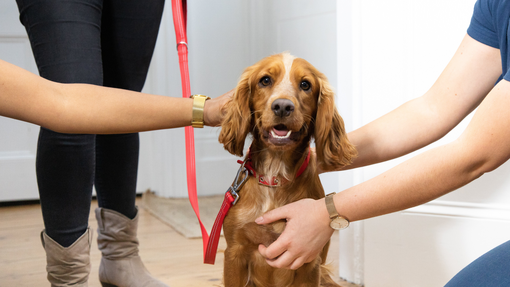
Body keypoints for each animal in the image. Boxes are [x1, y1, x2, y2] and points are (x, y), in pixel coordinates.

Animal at [217, 52, 356, 287]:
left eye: (305, 85)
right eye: (265, 80)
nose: (282, 106)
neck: (275, 174)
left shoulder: (309, 261)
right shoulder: (234, 253)